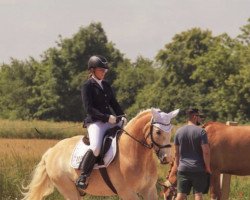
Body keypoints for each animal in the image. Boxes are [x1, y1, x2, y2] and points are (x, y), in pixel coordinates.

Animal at [20, 108, 179, 200]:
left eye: (171, 130)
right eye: (158, 132)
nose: (167, 158)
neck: (133, 152)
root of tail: (51, 151)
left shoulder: (149, 190)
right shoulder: (127, 192)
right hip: (68, 189)